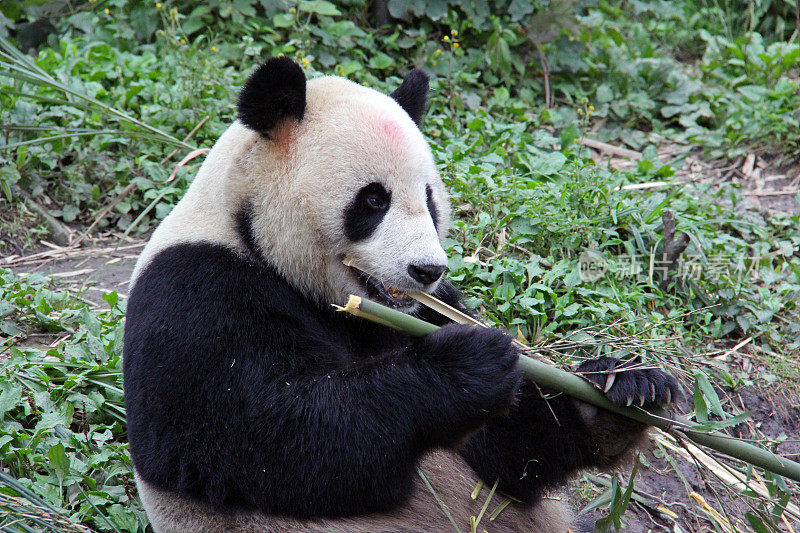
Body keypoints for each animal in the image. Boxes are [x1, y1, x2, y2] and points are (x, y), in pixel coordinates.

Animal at [122, 58, 680, 532]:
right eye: (373, 200)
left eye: (430, 199)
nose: (427, 270)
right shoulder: (197, 291)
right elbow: (280, 437)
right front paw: (467, 364)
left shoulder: (431, 310)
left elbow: (506, 456)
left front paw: (623, 389)